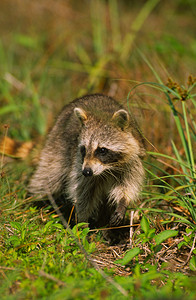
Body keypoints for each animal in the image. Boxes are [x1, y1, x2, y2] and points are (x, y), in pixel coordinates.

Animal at [29, 95, 145, 231]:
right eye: (84, 149)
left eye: (102, 150)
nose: (87, 172)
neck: (106, 169)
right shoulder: (79, 165)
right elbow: (83, 194)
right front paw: (82, 222)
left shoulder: (132, 162)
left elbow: (128, 185)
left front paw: (123, 202)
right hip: (57, 145)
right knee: (49, 175)